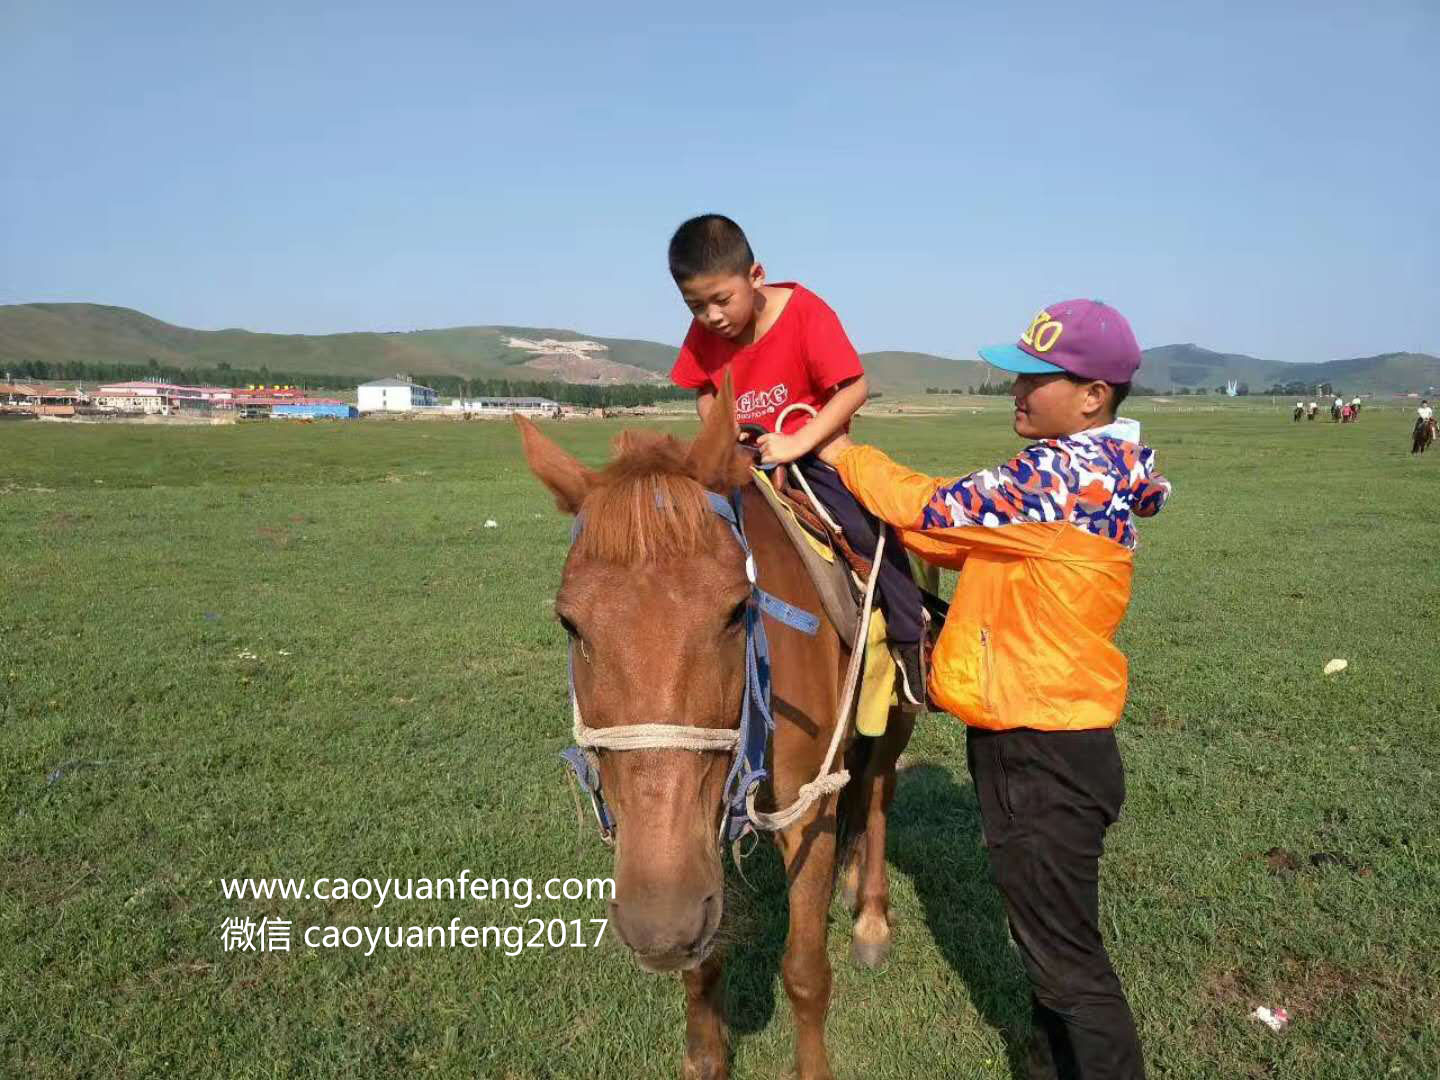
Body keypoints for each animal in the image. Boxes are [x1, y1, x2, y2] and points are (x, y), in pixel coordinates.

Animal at [521, 383, 910, 1080]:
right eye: (569, 622)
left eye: (736, 610)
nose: (658, 923)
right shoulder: (699, 832)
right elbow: (702, 970)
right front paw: (706, 1052)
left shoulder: (805, 813)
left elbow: (806, 973)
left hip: (893, 717)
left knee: (878, 793)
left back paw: (870, 917)